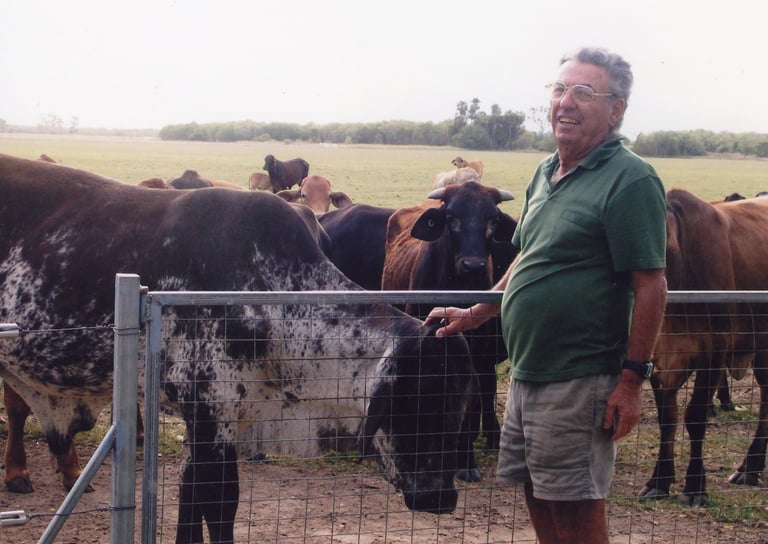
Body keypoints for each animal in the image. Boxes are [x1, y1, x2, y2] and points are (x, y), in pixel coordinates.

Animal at [0, 153, 478, 543]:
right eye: (420, 395)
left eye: (460, 400)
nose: (441, 497)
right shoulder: (208, 412)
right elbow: (214, 502)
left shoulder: (223, 417)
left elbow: (200, 500)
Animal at [639, 189, 768, 507]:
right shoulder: (659, 359)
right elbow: (667, 421)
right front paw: (659, 481)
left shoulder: (713, 355)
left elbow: (695, 417)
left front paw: (695, 484)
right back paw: (751, 467)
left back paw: (749, 466)